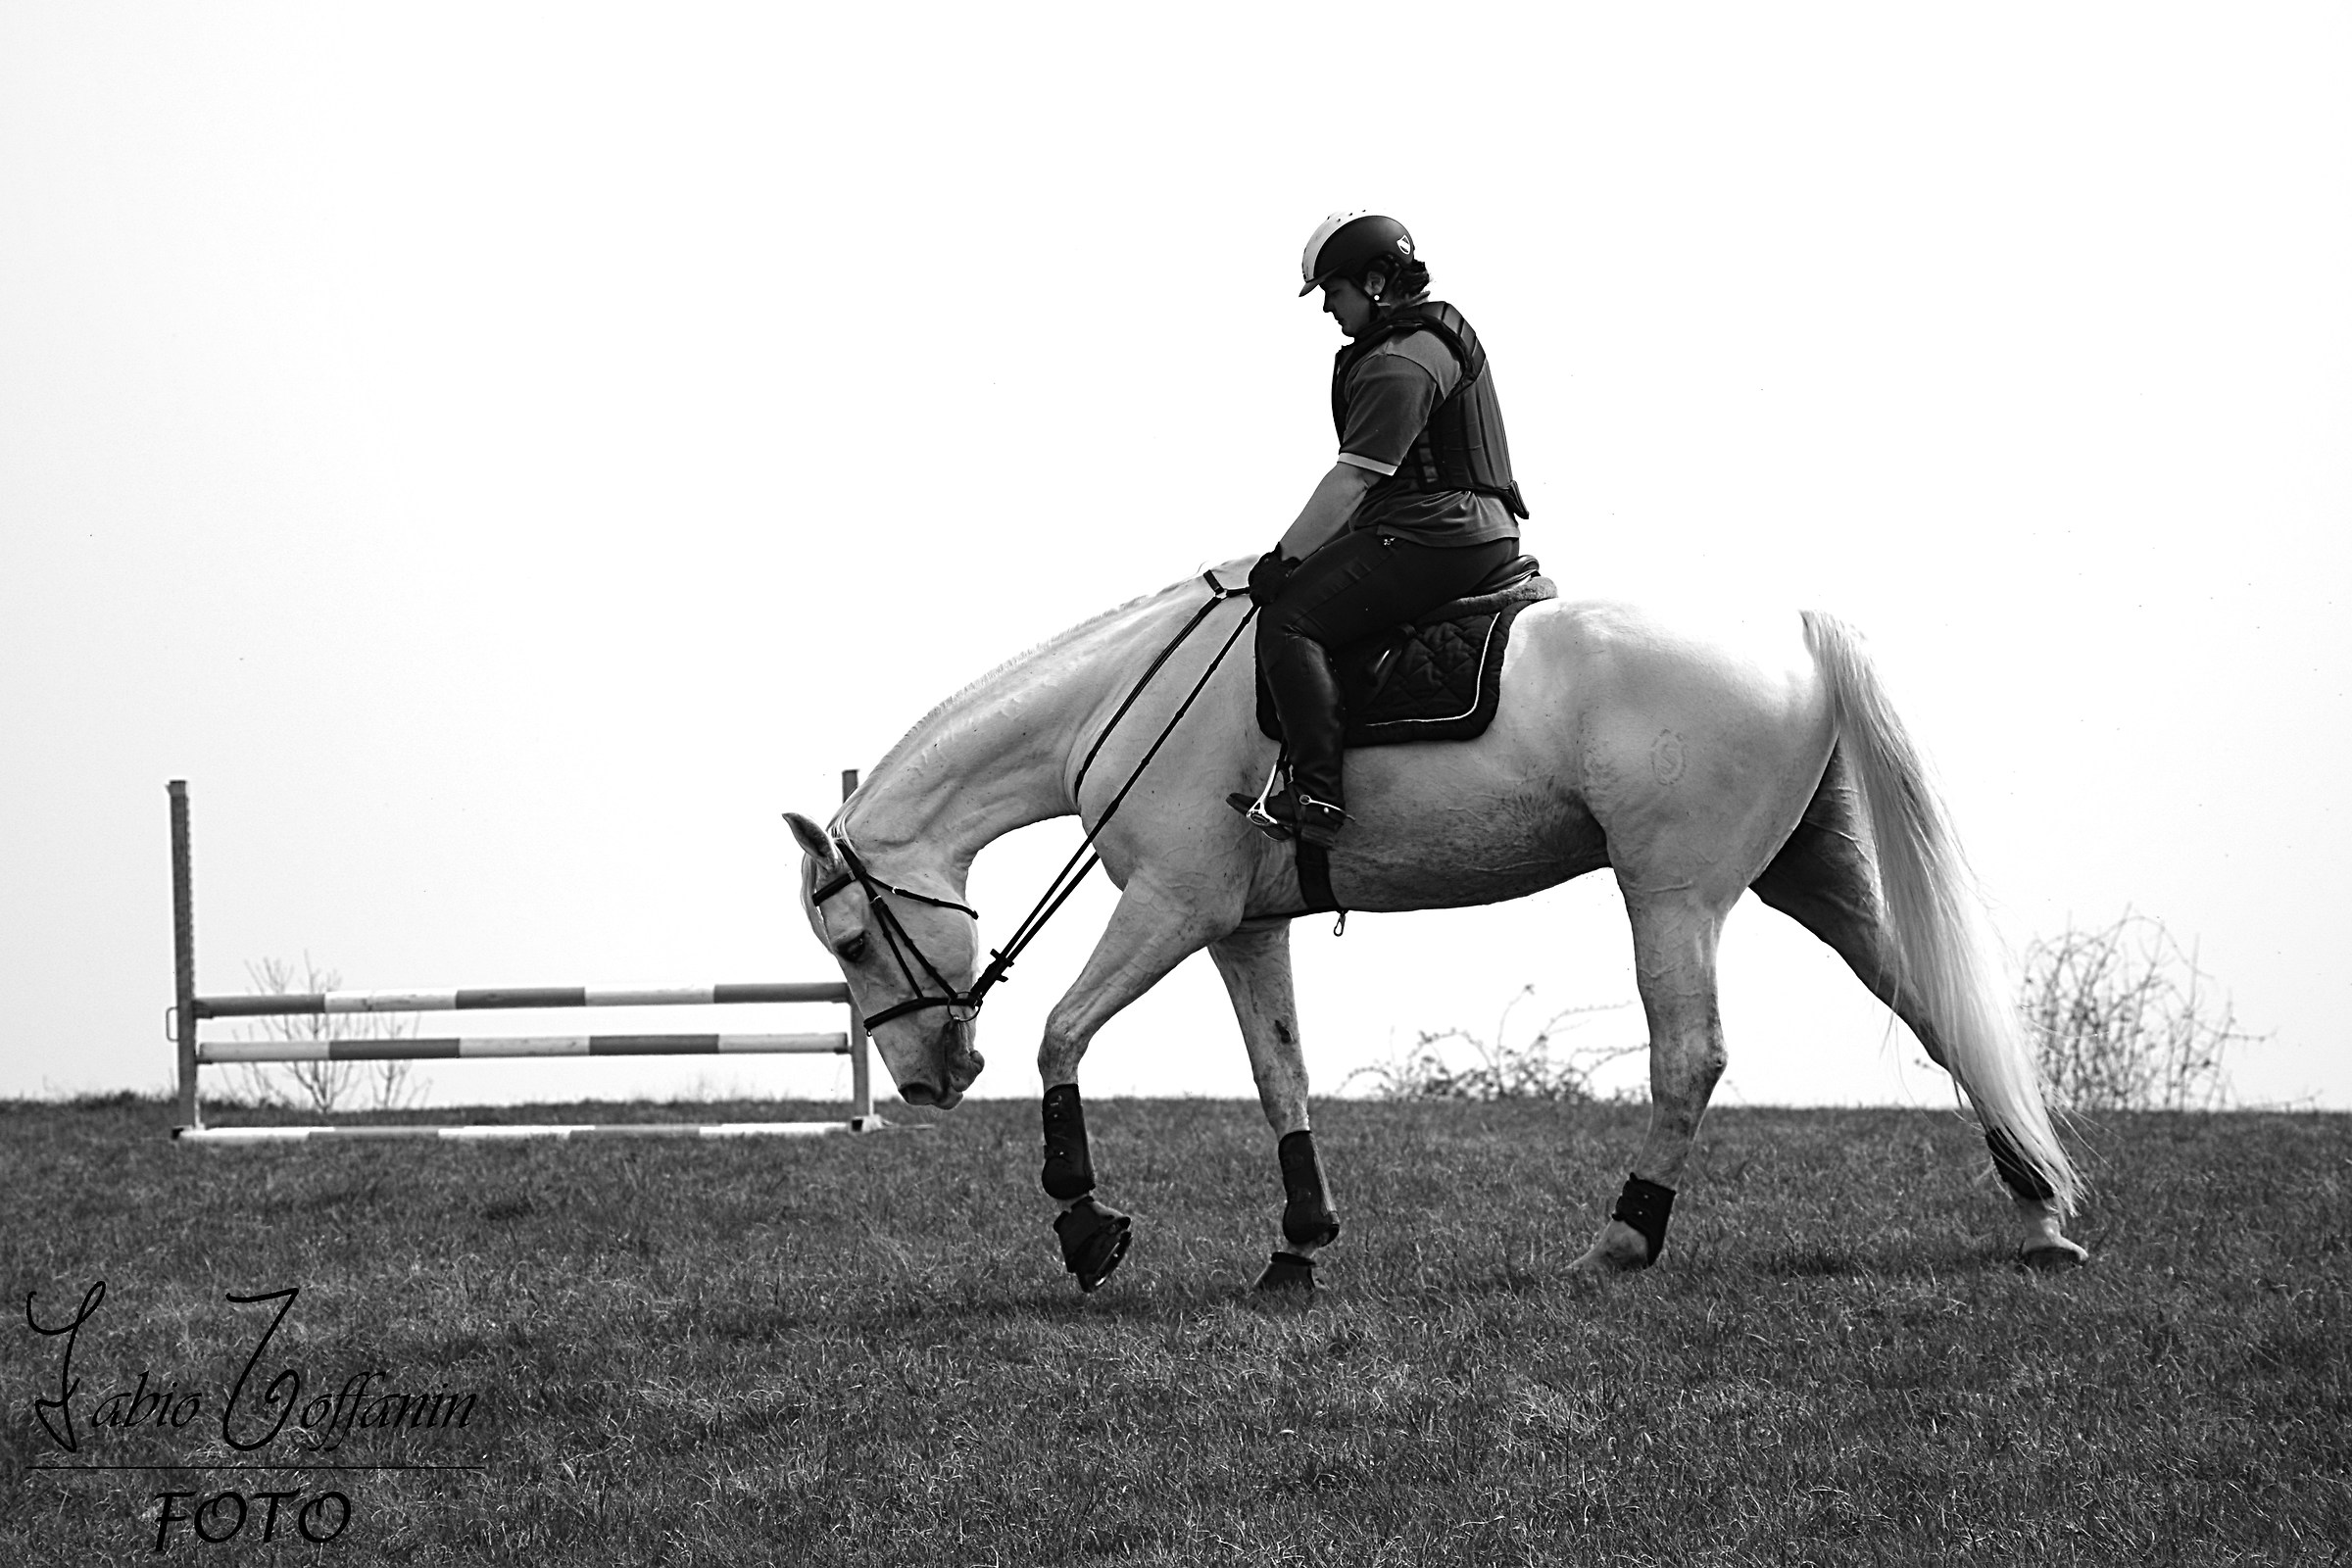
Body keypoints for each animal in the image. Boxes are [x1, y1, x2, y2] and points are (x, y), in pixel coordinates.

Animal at [783, 559, 2086, 1292]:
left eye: (850, 942)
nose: (927, 1081)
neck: (1125, 702)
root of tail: (1793, 637)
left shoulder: (1170, 908)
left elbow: (1061, 1035)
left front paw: (1084, 1222)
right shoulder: (1241, 928)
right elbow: (1280, 1075)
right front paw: (1299, 1244)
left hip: (1671, 895)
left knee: (1690, 1057)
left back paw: (1623, 1240)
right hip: (1813, 879)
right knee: (1937, 1012)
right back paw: (2035, 1213)